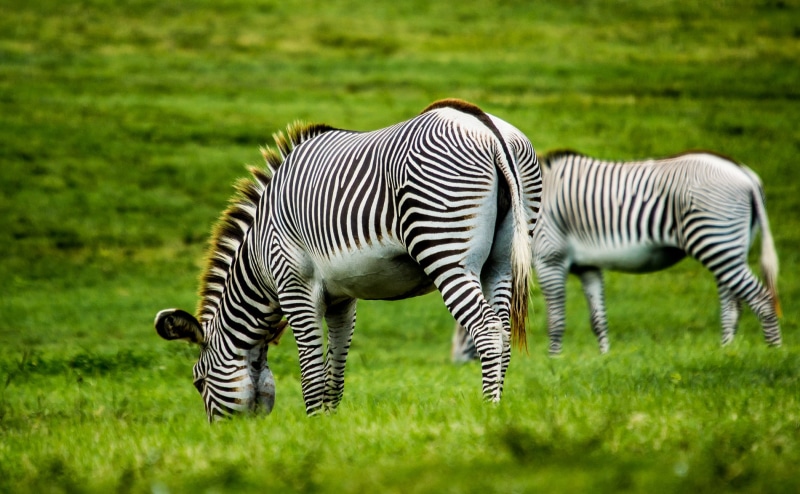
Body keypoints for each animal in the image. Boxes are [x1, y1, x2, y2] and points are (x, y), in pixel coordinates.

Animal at [155, 99, 542, 421]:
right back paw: (501, 409)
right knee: (503, 332)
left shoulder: (295, 287)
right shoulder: (342, 299)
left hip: (445, 249)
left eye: (198, 382)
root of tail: (487, 128)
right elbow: (335, 371)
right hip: (502, 262)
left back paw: (488, 410)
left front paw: (313, 426)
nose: (223, 434)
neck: (259, 259)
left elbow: (311, 370)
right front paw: (330, 426)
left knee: (488, 330)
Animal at [452, 148, 781, 360]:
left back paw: (773, 353)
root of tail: (745, 175)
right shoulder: (587, 265)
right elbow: (598, 318)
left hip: (715, 239)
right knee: (733, 304)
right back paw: (727, 350)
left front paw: (552, 361)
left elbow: (556, 318)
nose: (455, 362)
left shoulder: (550, 258)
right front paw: (604, 359)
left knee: (762, 299)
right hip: (727, 245)